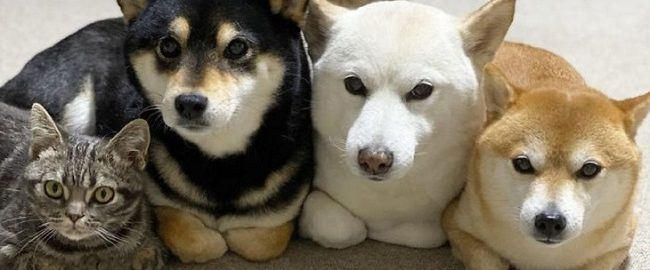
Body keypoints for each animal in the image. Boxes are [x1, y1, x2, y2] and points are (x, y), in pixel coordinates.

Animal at [440, 42, 648, 270]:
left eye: (590, 169)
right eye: (522, 164)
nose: (550, 220)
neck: (542, 258)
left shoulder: (620, 244)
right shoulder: (456, 223)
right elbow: (487, 259)